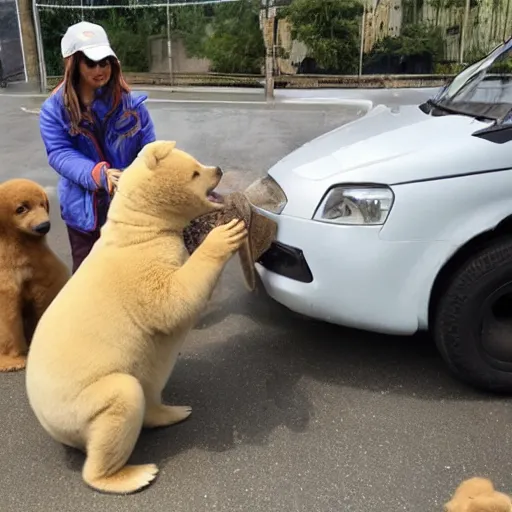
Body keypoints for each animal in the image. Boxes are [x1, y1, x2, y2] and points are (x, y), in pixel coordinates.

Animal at [24, 142, 248, 494]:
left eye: (198, 162)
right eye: (195, 172)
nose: (218, 169)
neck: (140, 228)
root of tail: (46, 419)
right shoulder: (140, 267)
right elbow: (171, 301)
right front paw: (225, 234)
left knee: (149, 383)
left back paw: (174, 411)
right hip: (79, 405)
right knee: (122, 399)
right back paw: (132, 474)